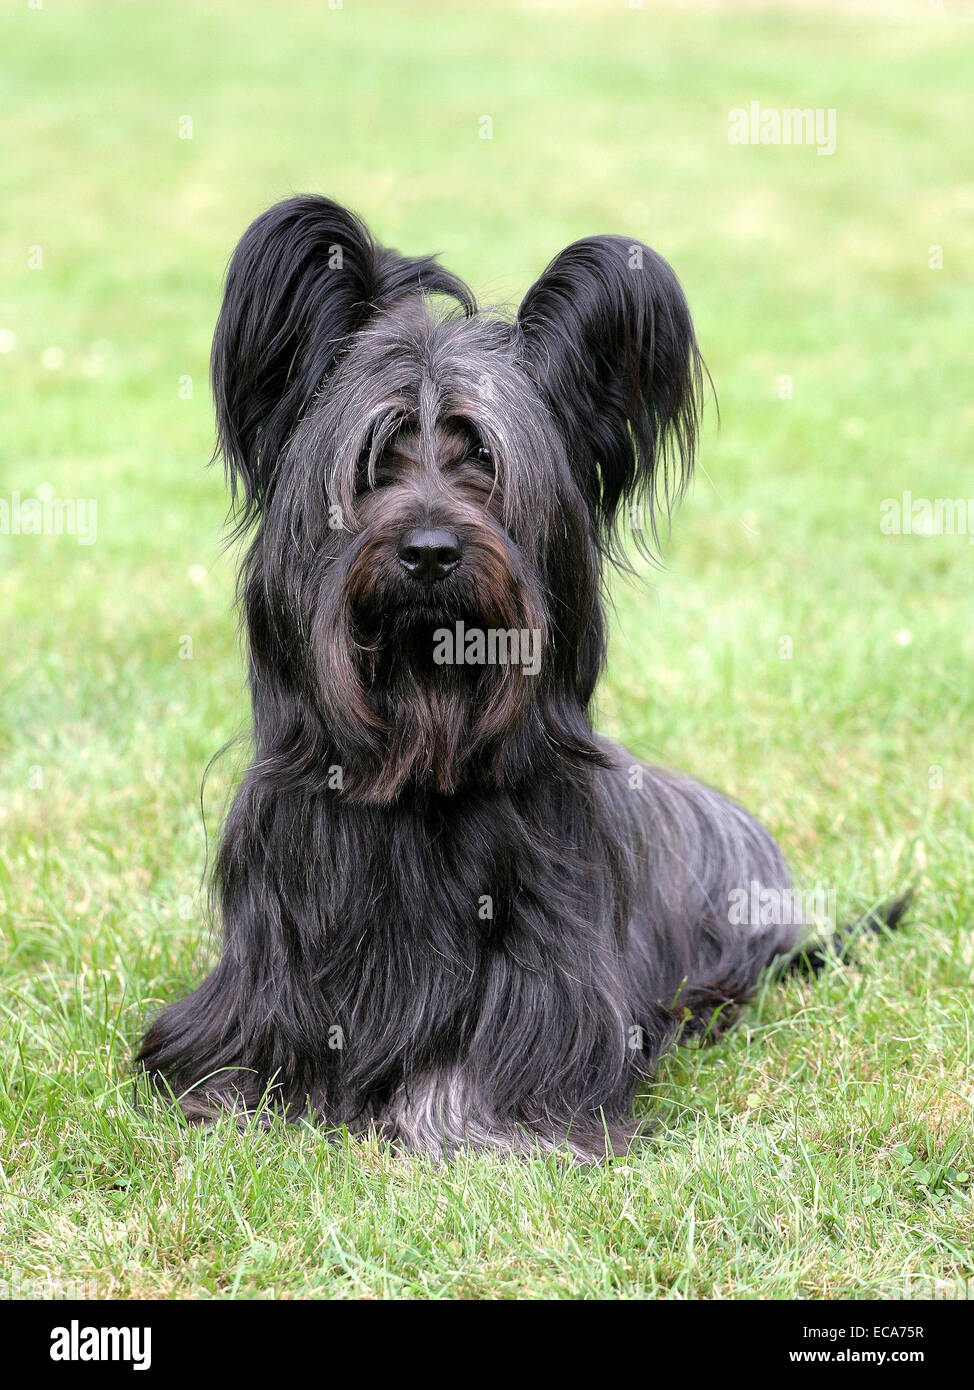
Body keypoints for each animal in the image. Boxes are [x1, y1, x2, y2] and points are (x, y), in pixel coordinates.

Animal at [136, 195, 905, 1162]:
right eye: (377, 459)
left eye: (483, 462)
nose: (430, 551)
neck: (425, 747)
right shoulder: (272, 952)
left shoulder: (550, 972)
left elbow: (490, 1069)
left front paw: (452, 1122)